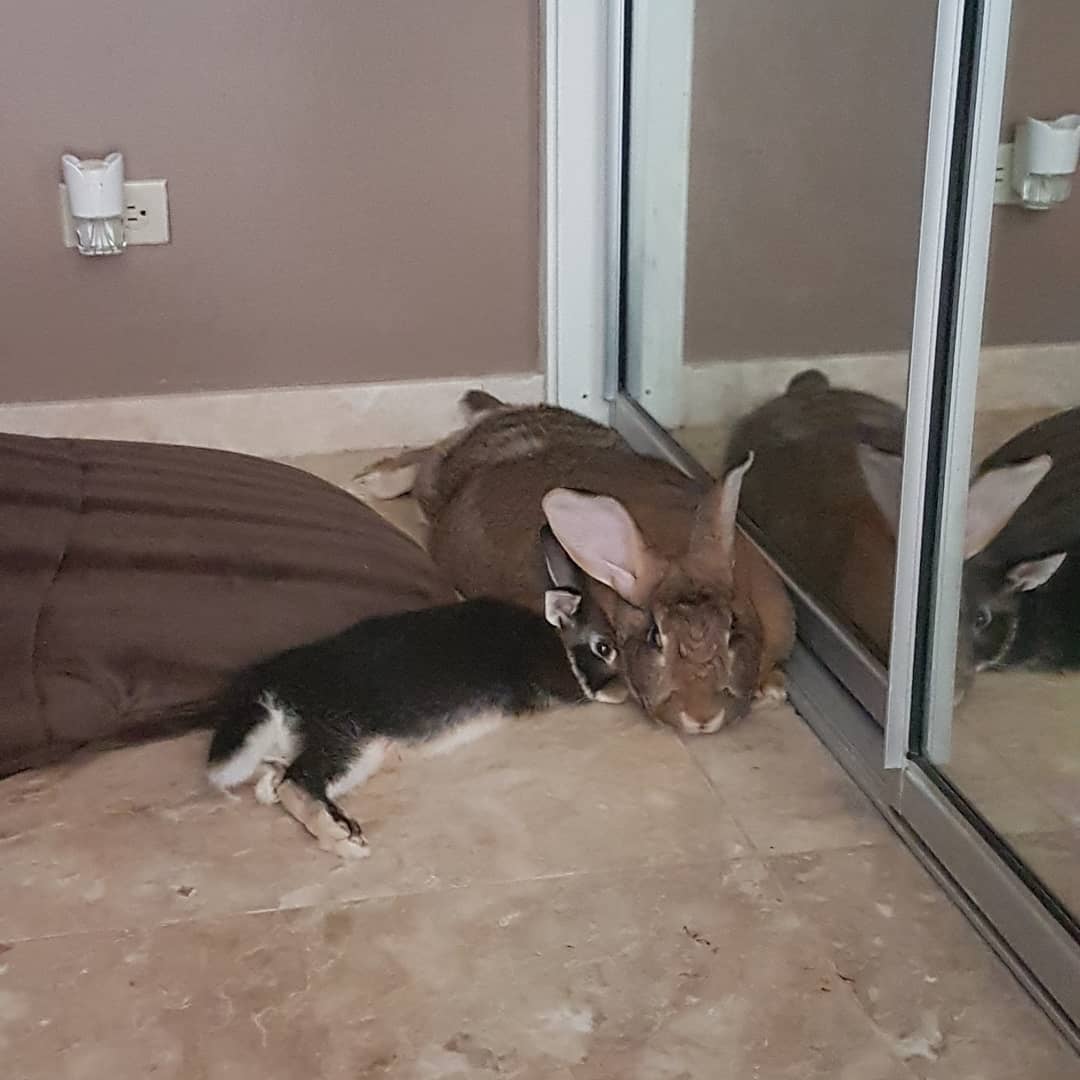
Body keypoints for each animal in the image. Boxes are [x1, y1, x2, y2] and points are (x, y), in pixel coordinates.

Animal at [205, 563, 626, 859]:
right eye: (604, 648)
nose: (624, 690)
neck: (554, 636)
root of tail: (270, 685)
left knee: (274, 783)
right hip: (348, 740)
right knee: (298, 783)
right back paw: (343, 839)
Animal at [354, 393, 795, 736]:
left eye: (733, 626)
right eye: (655, 636)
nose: (702, 717)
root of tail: (501, 418)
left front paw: (773, 687)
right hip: (439, 480)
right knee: (427, 458)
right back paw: (372, 481)